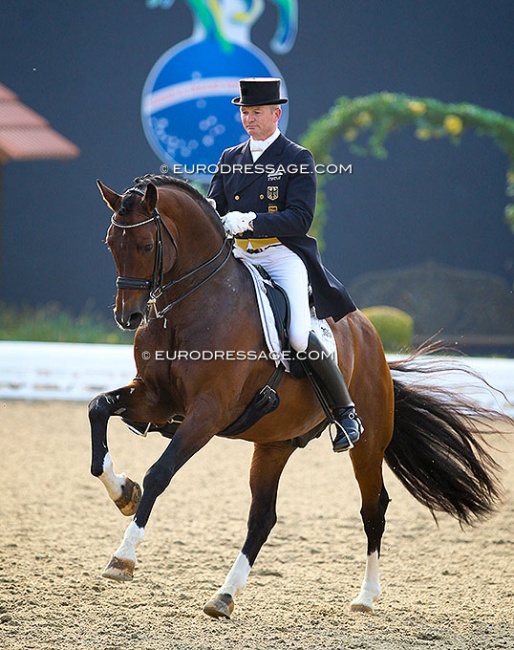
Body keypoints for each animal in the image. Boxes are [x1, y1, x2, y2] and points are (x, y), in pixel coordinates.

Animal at [90, 172, 502, 616]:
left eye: (147, 246)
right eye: (110, 244)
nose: (128, 316)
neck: (190, 307)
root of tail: (368, 331)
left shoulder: (208, 413)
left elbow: (160, 472)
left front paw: (123, 557)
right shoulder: (156, 400)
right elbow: (98, 409)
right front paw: (123, 492)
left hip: (368, 443)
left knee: (373, 508)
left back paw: (366, 597)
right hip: (274, 444)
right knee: (263, 518)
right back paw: (225, 596)